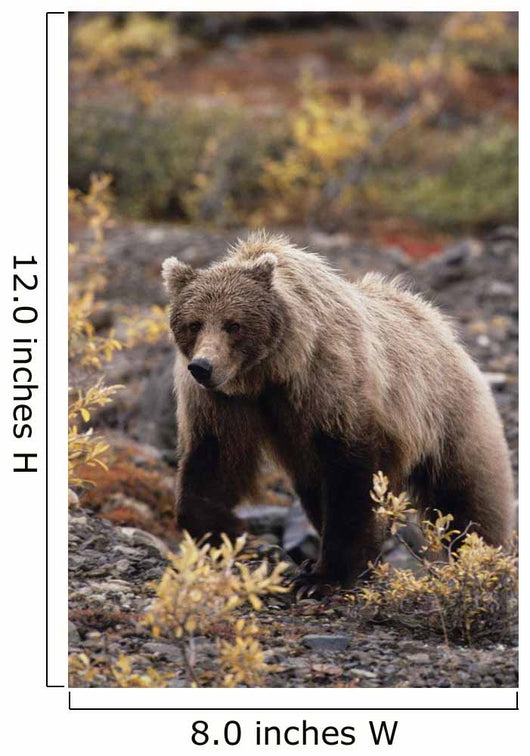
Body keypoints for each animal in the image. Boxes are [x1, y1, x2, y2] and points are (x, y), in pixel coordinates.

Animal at [162, 231, 514, 589]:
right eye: (194, 324)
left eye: (234, 324)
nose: (203, 366)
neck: (271, 371)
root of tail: (443, 327)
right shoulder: (223, 403)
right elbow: (213, 462)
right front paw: (233, 535)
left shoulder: (331, 385)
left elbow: (351, 480)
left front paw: (325, 576)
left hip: (449, 415)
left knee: (467, 495)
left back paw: (484, 559)